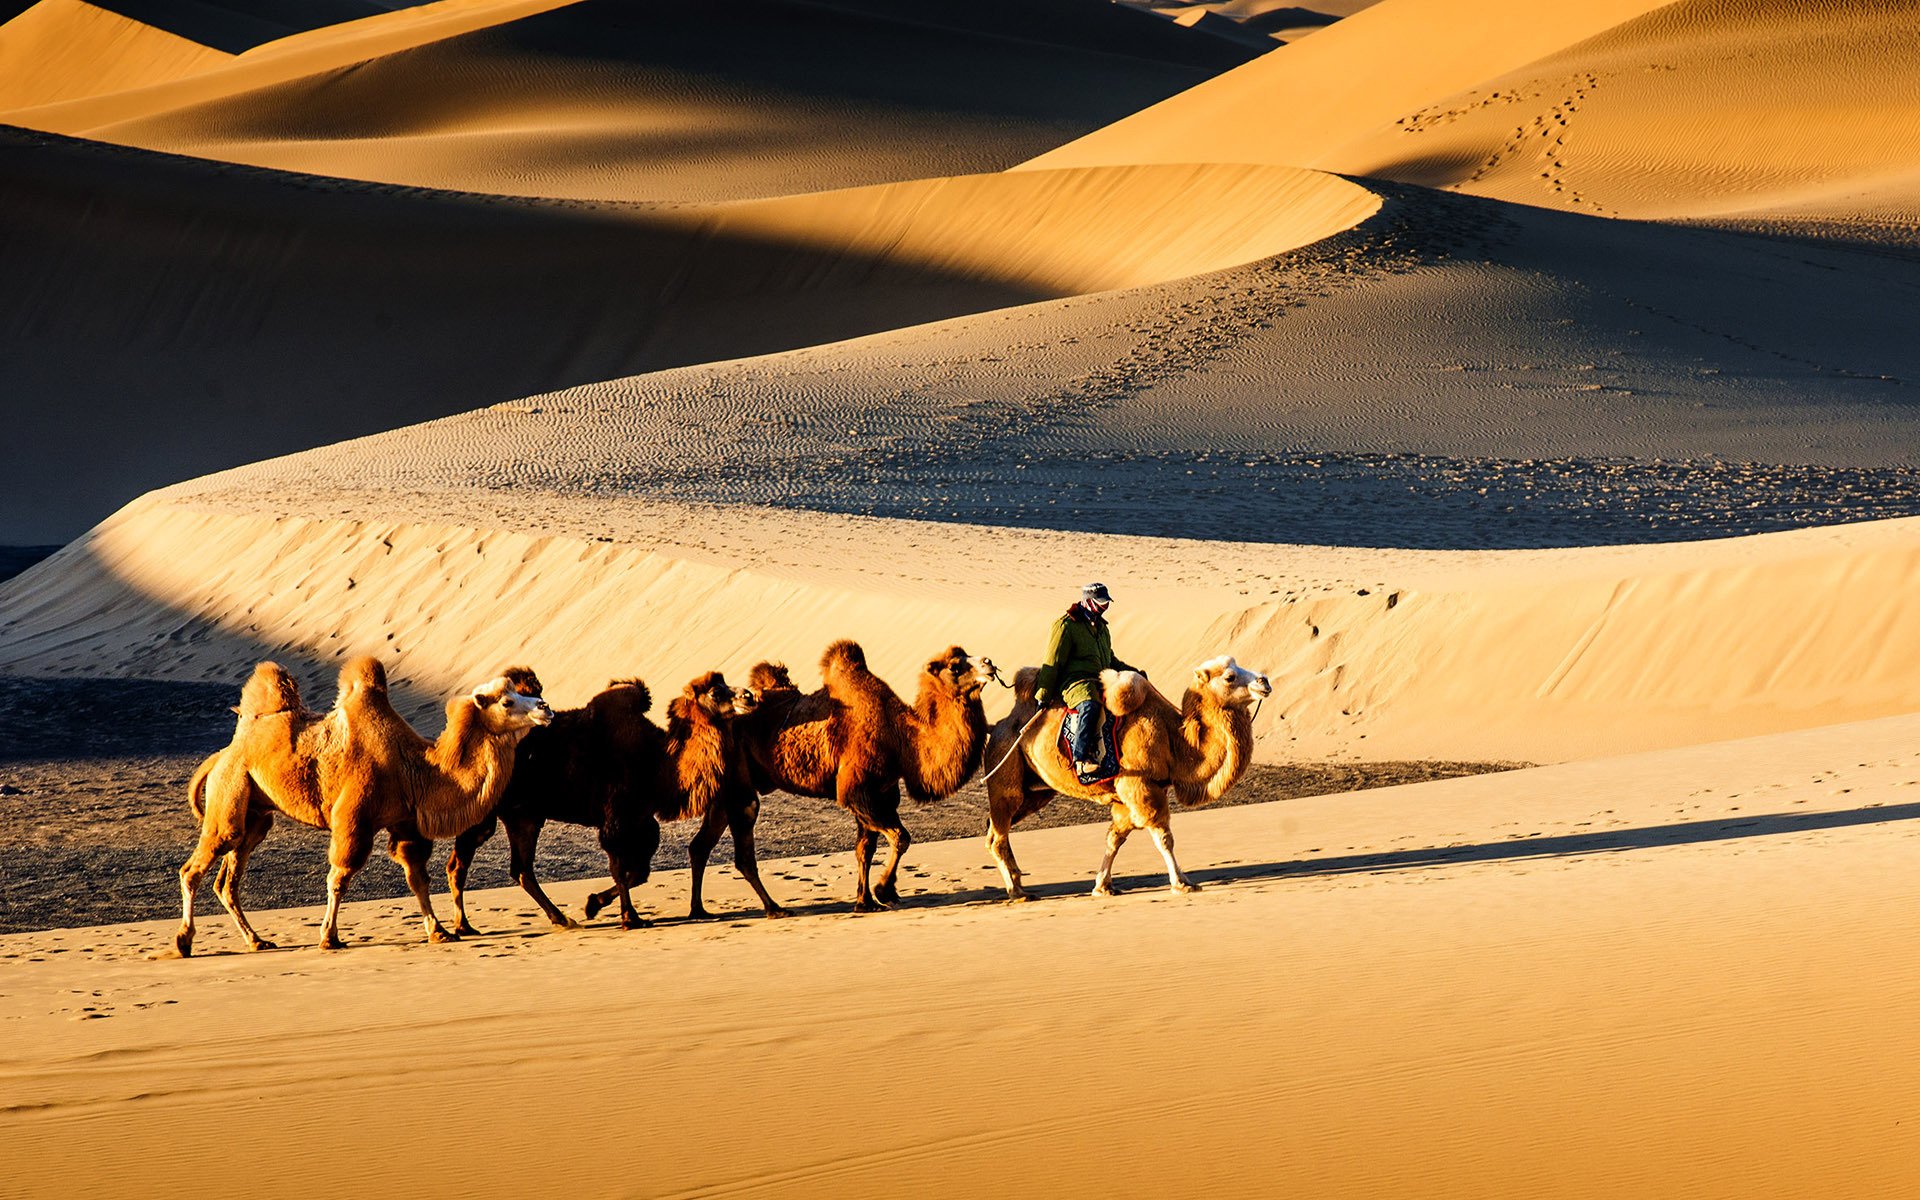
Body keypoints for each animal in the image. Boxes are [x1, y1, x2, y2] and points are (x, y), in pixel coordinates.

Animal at [172, 656, 552, 956]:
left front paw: (439, 931)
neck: (416, 767)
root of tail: (223, 754)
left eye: (526, 694)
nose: (545, 707)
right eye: (507, 701)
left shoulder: (405, 823)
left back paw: (257, 941)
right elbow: (339, 876)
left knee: (228, 880)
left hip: (256, 814)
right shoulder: (354, 816)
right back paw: (184, 941)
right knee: (196, 866)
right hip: (230, 792)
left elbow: (417, 877)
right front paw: (329, 937)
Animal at [445, 668, 775, 933]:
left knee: (521, 869)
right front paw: (630, 918)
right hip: (485, 810)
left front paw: (593, 904)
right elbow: (619, 866)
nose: (749, 696)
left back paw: (560, 919)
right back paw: (463, 927)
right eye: (717, 691)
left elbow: (638, 872)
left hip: (524, 816)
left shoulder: (642, 820)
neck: (659, 762)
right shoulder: (616, 816)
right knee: (461, 861)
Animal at [741, 641, 998, 913]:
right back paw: (771, 908)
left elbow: (866, 849)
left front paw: (865, 901)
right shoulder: (857, 791)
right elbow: (901, 838)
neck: (900, 737)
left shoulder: (882, 792)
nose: (989, 663)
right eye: (955, 666)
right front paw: (883, 891)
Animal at [975, 656, 1274, 898]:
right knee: (997, 836)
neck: (1174, 738)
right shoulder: (1139, 784)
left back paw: (1019, 883)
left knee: (997, 829)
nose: (1264, 681)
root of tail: (999, 726)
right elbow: (1163, 837)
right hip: (1005, 776)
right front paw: (1182, 883)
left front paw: (1102, 886)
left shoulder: (1126, 797)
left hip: (1035, 793)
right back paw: (1016, 892)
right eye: (1229, 676)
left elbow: (1114, 839)